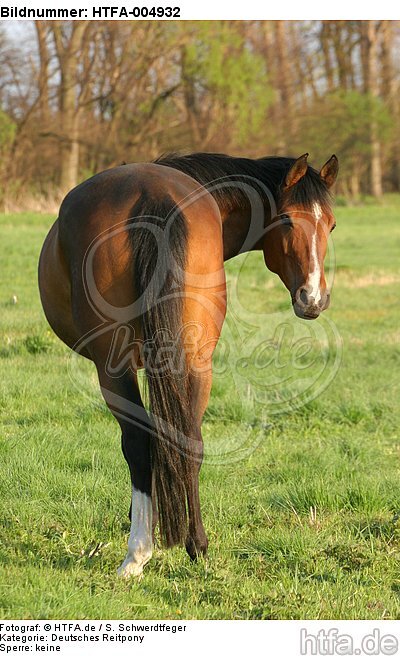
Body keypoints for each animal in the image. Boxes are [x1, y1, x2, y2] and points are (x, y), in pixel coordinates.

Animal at [38, 151, 338, 577]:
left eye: (330, 225)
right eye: (286, 221)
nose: (313, 298)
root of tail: (152, 196)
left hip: (115, 369)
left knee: (140, 443)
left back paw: (138, 552)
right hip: (196, 362)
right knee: (188, 441)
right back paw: (195, 545)